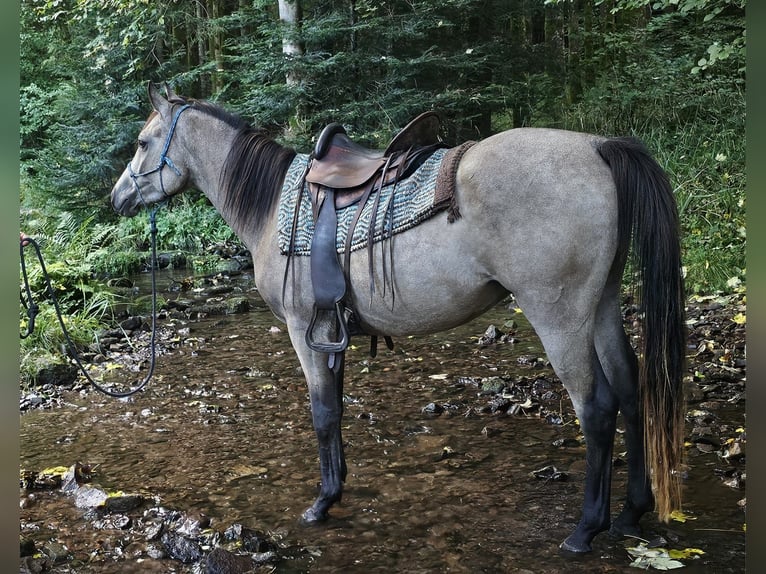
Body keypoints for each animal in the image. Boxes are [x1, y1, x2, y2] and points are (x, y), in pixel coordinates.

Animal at [110, 83, 685, 554]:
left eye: (141, 143)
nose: (117, 197)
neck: (272, 206)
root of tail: (596, 147)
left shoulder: (303, 330)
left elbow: (322, 414)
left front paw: (321, 503)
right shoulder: (330, 331)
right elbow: (337, 409)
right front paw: (337, 487)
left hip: (559, 316)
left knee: (597, 408)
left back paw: (586, 529)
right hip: (601, 304)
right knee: (631, 389)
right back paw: (631, 512)